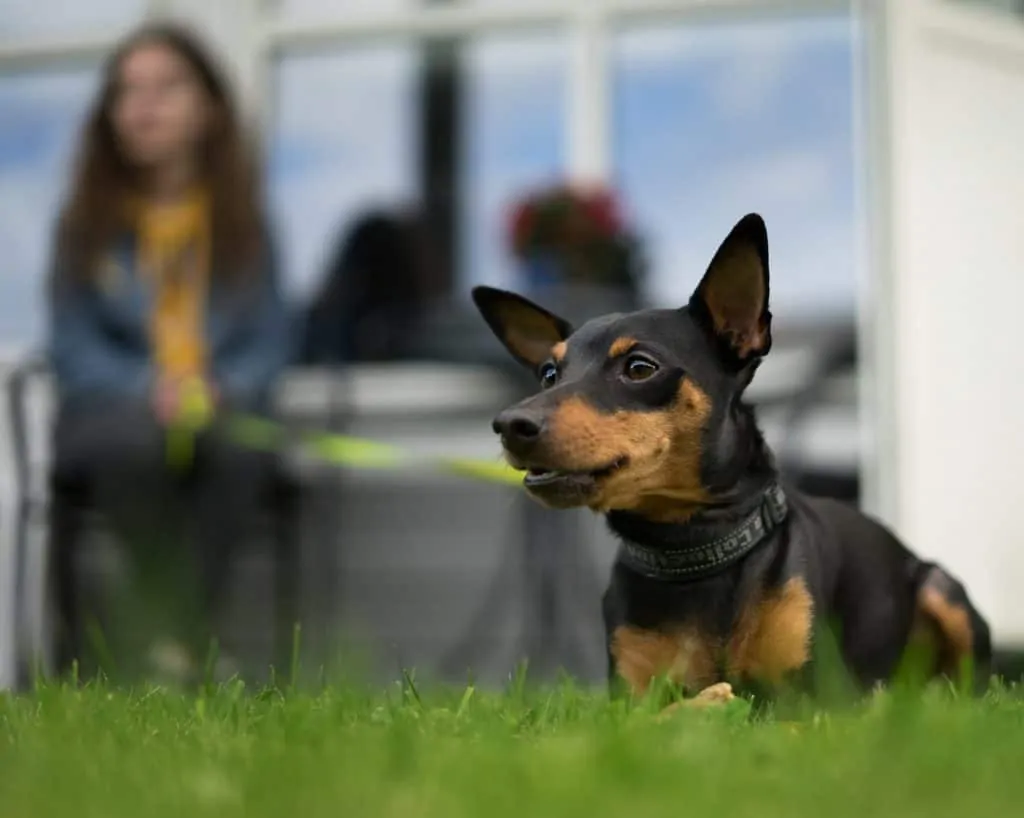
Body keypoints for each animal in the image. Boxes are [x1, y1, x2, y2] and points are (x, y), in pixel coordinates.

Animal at [471, 213, 991, 708]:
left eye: (639, 367)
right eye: (548, 374)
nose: (510, 424)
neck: (691, 547)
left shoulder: (808, 696)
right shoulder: (628, 701)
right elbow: (668, 710)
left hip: (942, 590)